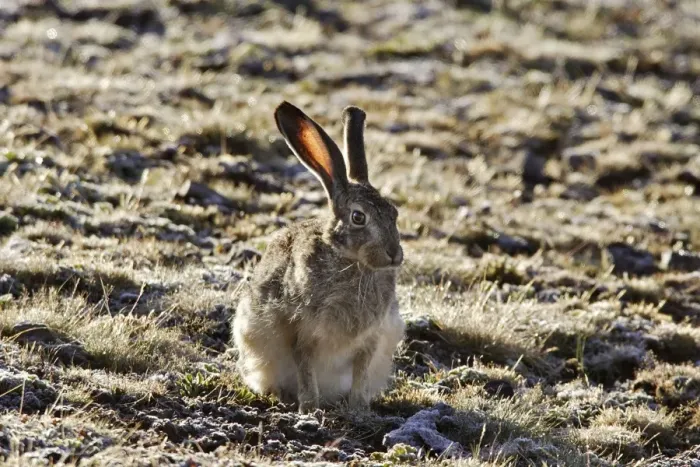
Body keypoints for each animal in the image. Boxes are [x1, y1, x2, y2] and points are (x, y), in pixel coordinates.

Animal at [232, 101, 405, 413]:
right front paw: (309, 407)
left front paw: (359, 409)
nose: (394, 255)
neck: (352, 263)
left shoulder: (372, 339)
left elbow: (361, 372)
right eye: (358, 217)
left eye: (394, 213)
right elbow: (305, 368)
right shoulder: (301, 332)